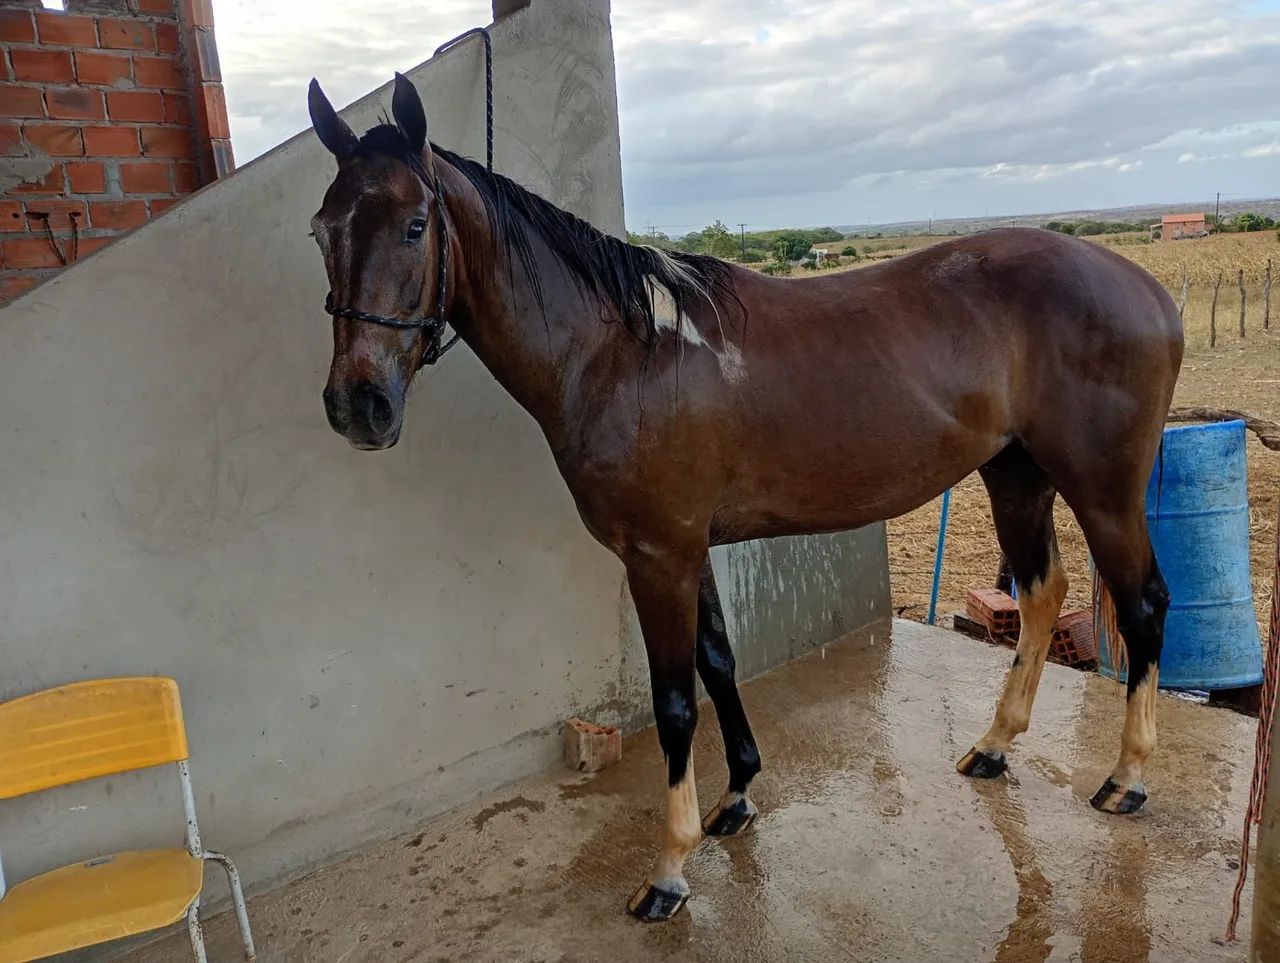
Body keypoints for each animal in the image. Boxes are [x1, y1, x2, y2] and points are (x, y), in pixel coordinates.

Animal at [306, 74, 1184, 922]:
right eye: (321, 229)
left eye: (416, 224)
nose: (358, 406)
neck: (622, 351)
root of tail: (1147, 288)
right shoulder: (687, 549)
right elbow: (720, 660)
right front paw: (735, 798)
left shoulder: (657, 556)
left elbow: (674, 702)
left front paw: (669, 869)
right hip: (1016, 476)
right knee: (1042, 594)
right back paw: (996, 746)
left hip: (1102, 489)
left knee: (1142, 602)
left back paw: (1126, 779)